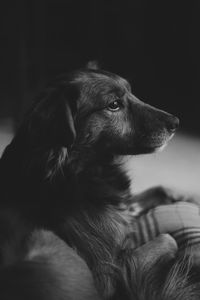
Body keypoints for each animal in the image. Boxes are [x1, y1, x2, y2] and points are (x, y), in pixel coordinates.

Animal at [0, 62, 199, 298]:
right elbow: (168, 238)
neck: (75, 167)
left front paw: (186, 196)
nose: (176, 123)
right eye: (113, 105)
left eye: (131, 93)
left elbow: (157, 191)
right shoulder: (108, 275)